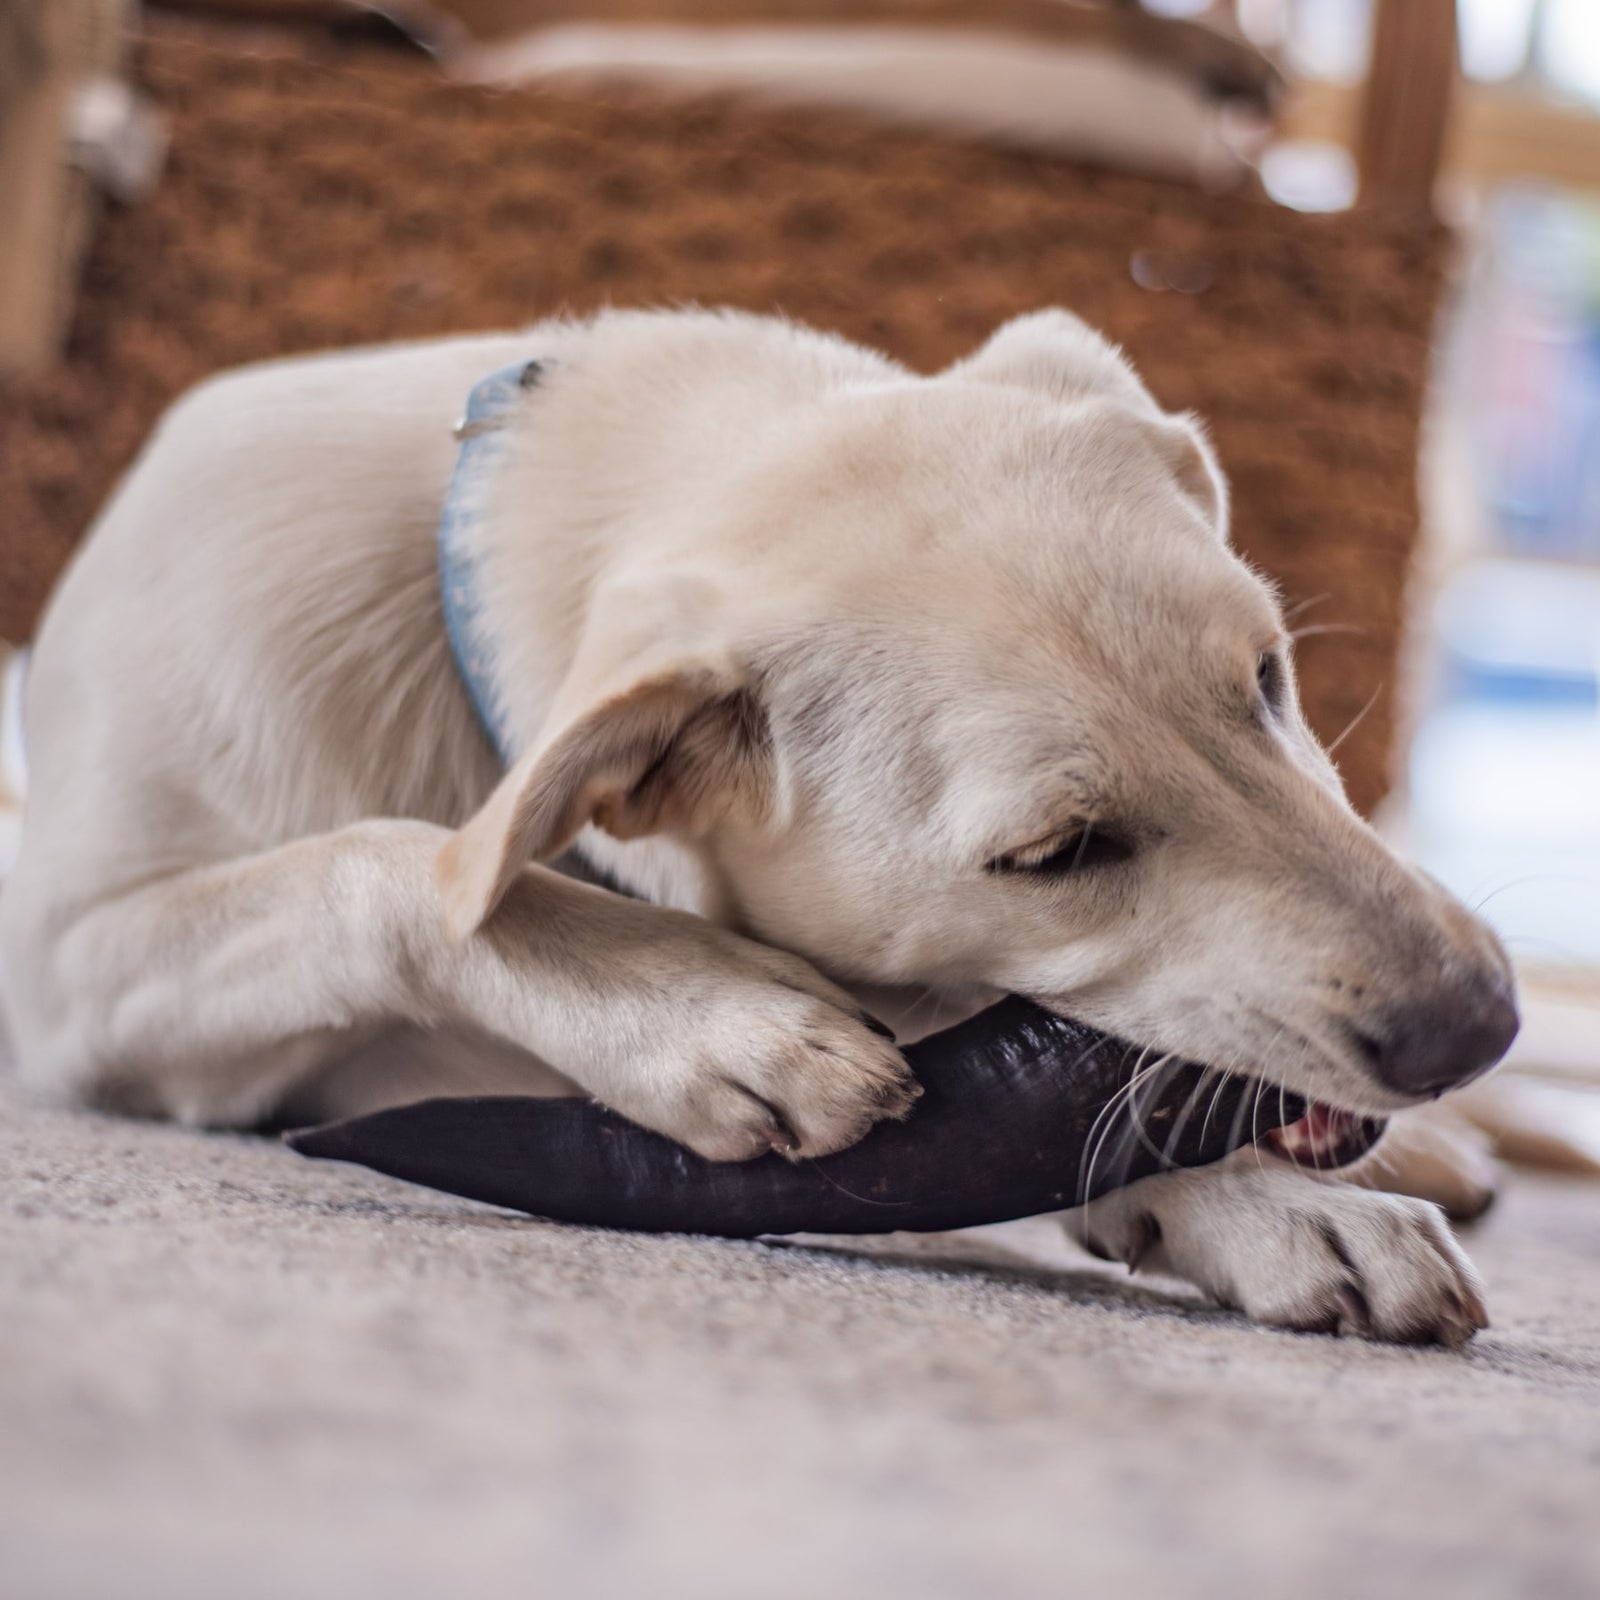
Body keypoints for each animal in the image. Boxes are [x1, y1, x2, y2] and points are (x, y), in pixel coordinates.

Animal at [0, 305, 1516, 1344]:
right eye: (1053, 856)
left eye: (1264, 678)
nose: (1480, 1023)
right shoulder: (75, 979)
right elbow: (389, 864)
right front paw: (707, 1017)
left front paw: (1273, 1202)